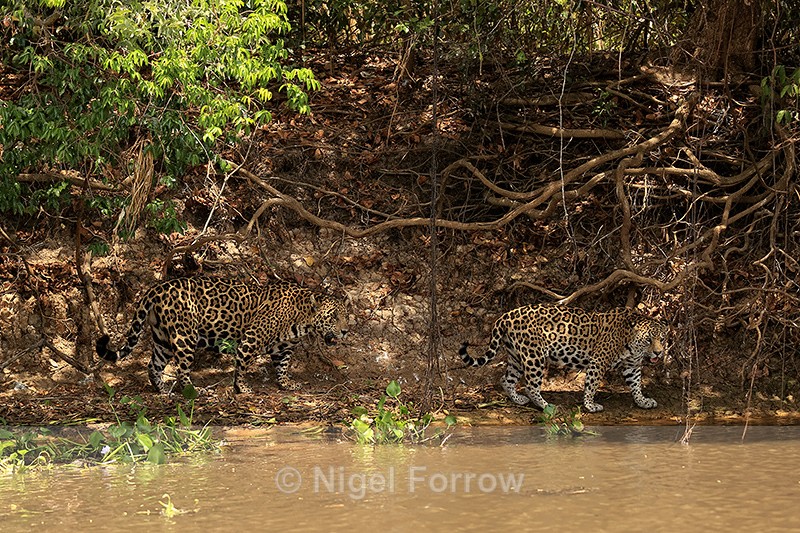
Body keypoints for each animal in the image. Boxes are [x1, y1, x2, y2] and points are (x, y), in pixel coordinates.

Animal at [96, 277, 348, 395]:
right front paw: (242, 388)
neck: (302, 317)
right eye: (333, 317)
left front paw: (286, 383)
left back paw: (162, 390)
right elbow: (242, 366)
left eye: (345, 316)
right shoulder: (251, 339)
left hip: (162, 339)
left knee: (153, 365)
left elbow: (283, 366)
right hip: (184, 336)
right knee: (181, 369)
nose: (345, 330)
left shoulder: (284, 348)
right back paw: (193, 391)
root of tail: (157, 288)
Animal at [459, 304, 667, 413]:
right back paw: (547, 406)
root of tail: (507, 315)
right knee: (530, 386)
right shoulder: (598, 361)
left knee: (506, 379)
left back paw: (518, 400)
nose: (658, 353)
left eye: (662, 339)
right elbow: (592, 385)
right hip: (534, 356)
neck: (631, 342)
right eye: (649, 340)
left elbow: (636, 384)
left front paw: (642, 401)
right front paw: (590, 405)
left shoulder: (632, 365)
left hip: (516, 356)